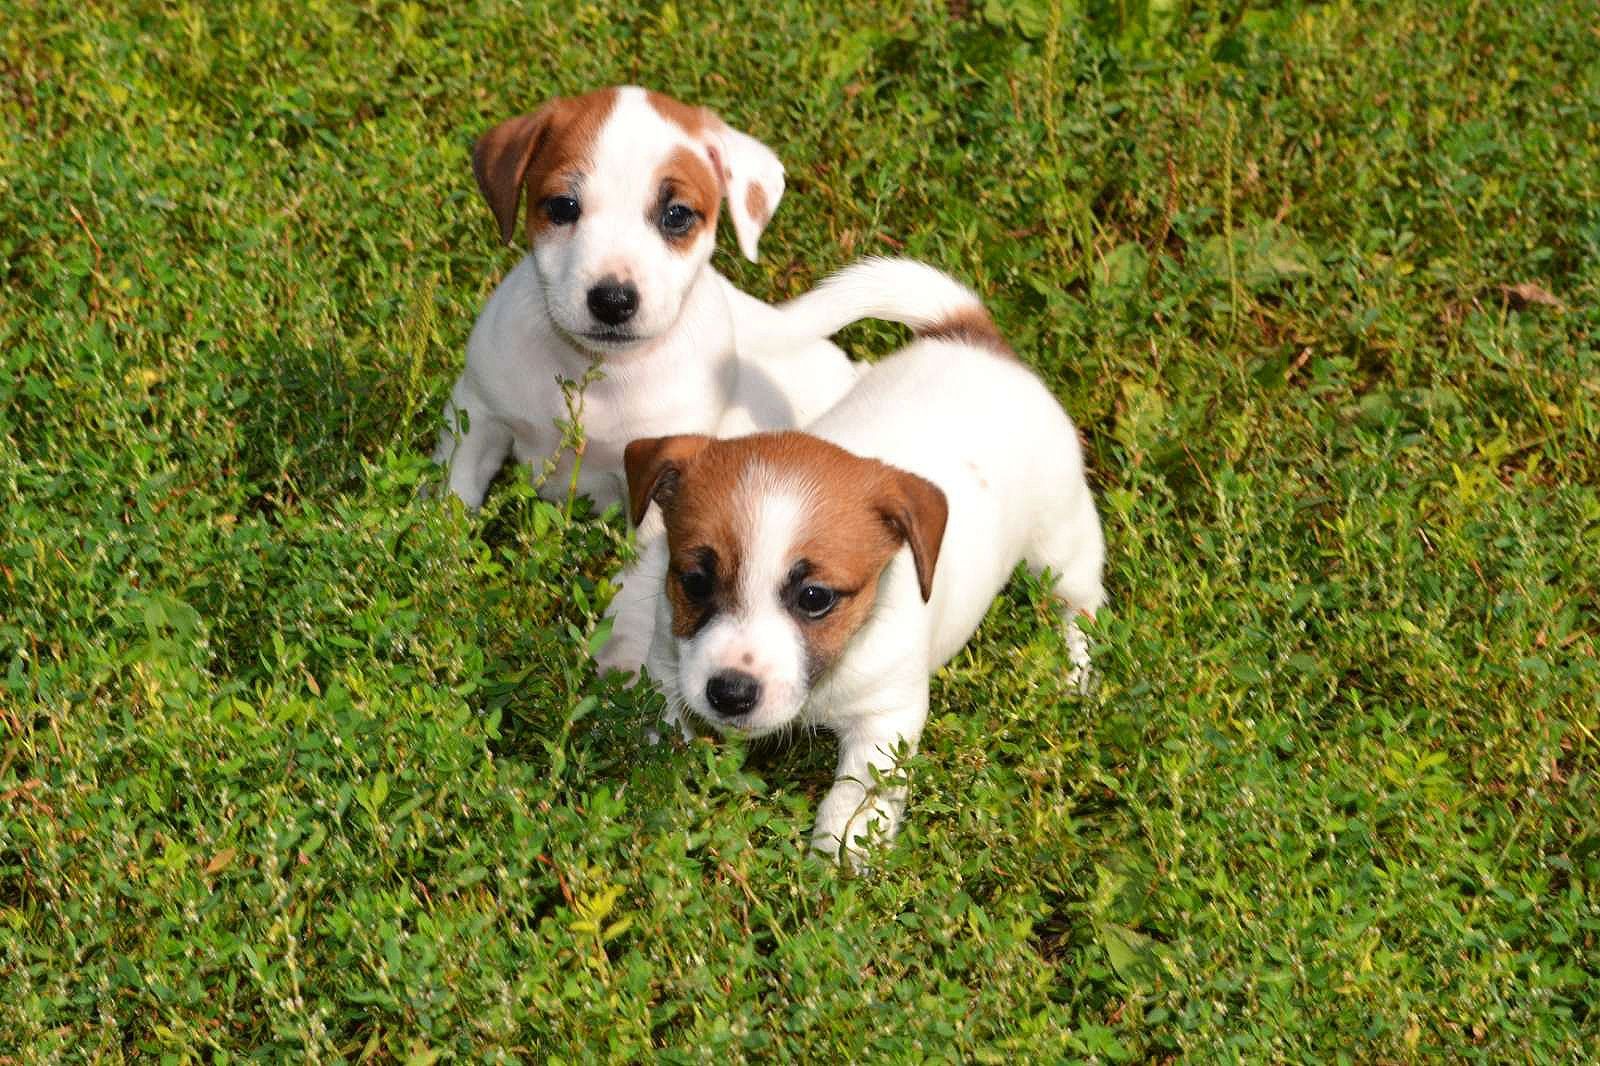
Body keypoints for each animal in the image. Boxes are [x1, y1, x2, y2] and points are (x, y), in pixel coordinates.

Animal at [435, 85, 864, 508]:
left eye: (676, 215)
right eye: (563, 206)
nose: (612, 301)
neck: (598, 371)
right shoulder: (476, 417)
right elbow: (452, 499)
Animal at [617, 259, 1107, 864]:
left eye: (815, 598)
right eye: (694, 581)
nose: (730, 693)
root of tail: (973, 338)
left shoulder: (884, 720)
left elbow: (855, 799)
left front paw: (838, 858)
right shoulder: (669, 667)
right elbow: (669, 732)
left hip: (1063, 545)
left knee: (1080, 606)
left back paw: (1075, 670)